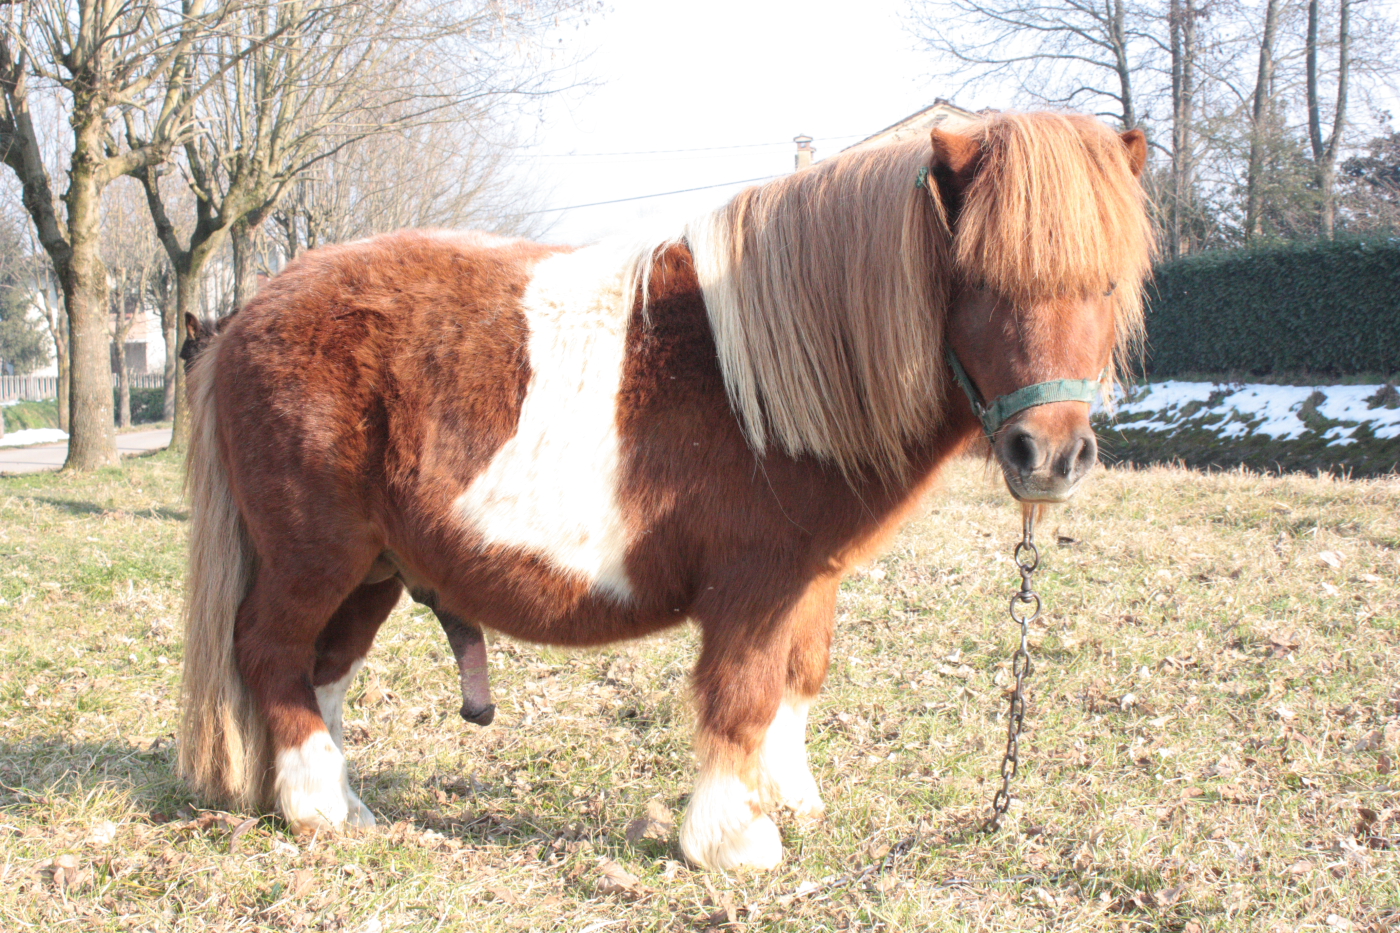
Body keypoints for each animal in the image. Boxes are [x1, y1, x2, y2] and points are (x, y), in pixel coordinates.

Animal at [180, 111, 1152, 871]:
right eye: (981, 278)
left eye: (1107, 282)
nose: (1048, 456)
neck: (769, 376)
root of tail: (246, 316)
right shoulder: (753, 585)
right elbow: (741, 692)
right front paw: (734, 839)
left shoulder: (811, 581)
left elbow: (797, 681)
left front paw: (786, 798)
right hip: (317, 556)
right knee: (272, 653)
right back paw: (314, 805)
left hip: (375, 568)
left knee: (324, 670)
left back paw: (343, 804)